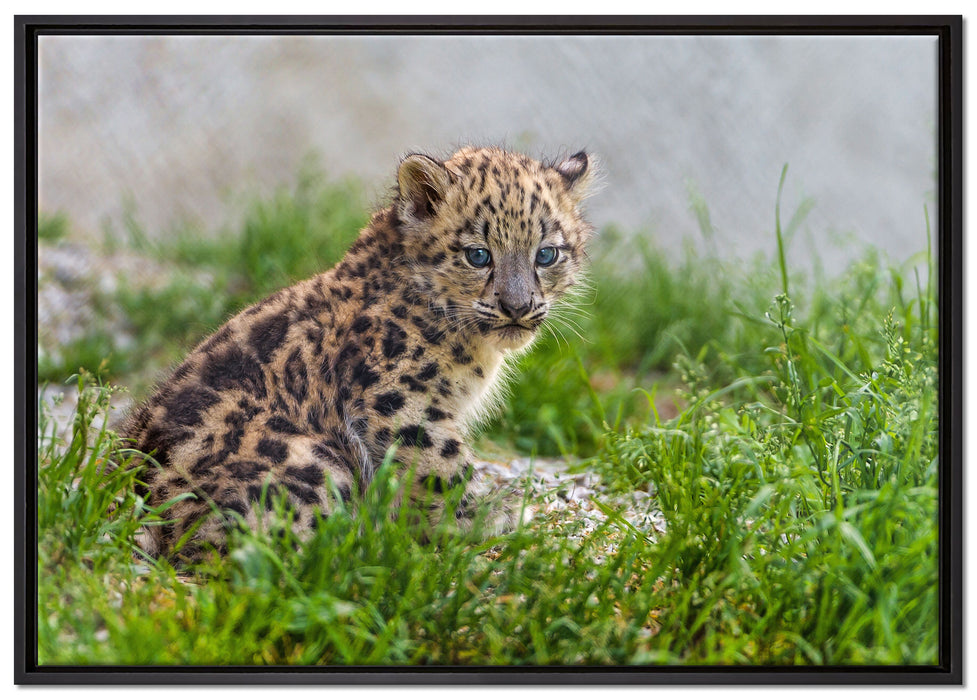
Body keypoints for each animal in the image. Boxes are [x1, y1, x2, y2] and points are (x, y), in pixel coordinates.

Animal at [121, 145, 596, 561]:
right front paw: (490, 515)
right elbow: (444, 466)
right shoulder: (400, 401)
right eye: (478, 255)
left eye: (546, 254)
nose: (518, 307)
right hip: (314, 460)